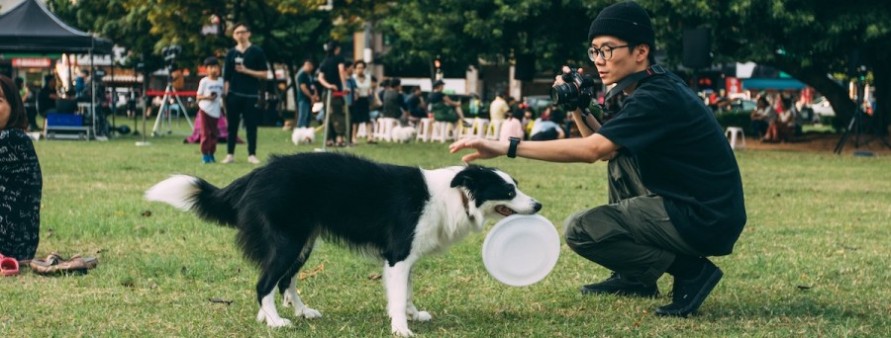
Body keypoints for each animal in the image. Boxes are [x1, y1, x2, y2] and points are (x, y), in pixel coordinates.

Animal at [143, 152, 540, 336]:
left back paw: (299, 312)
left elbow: (408, 290)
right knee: (265, 283)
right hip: (289, 240)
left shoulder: (408, 256)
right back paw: (275, 321)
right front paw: (402, 327)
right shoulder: (398, 253)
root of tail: (256, 174)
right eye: (508, 191)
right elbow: (398, 294)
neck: (454, 195)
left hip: (304, 242)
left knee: (284, 281)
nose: (538, 206)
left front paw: (413, 314)